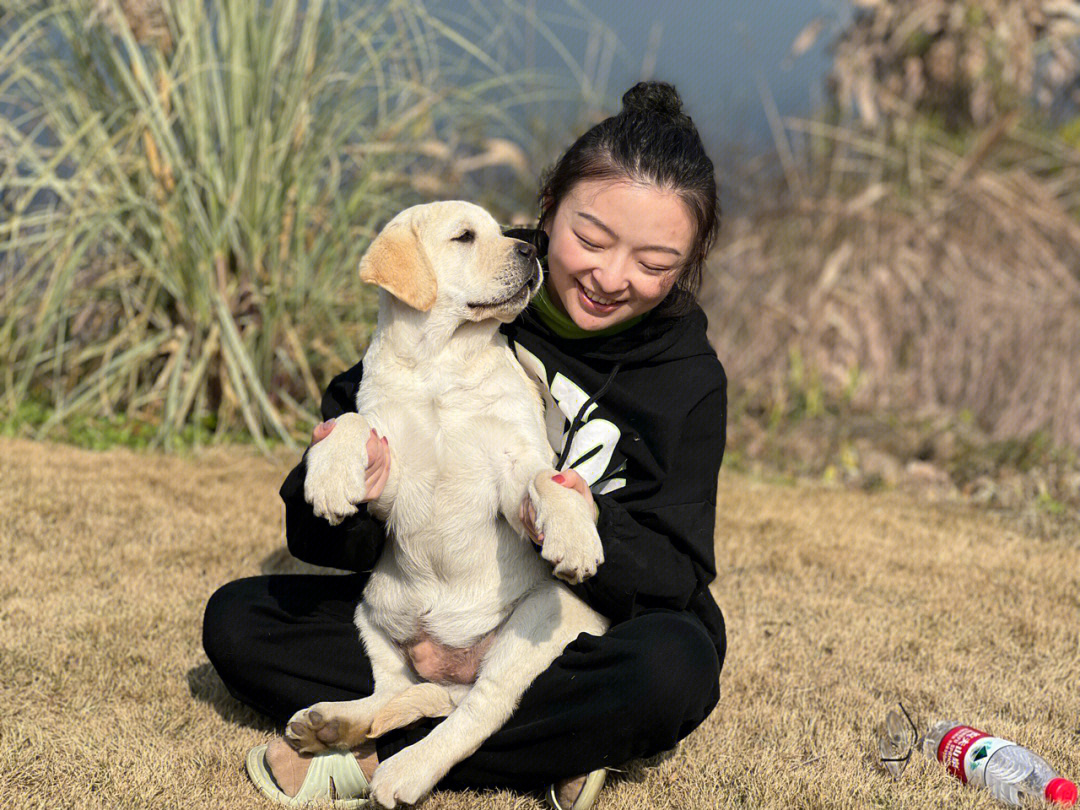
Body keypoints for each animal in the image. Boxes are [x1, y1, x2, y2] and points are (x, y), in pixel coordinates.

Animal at [291, 199, 609, 807]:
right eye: (465, 237)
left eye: (504, 232)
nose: (532, 249)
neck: (444, 360)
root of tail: (453, 671)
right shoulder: (390, 463)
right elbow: (350, 421)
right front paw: (330, 477)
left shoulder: (514, 468)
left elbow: (549, 481)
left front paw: (575, 536)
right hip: (375, 612)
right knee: (395, 692)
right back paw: (335, 724)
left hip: (538, 618)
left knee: (480, 711)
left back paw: (405, 771)